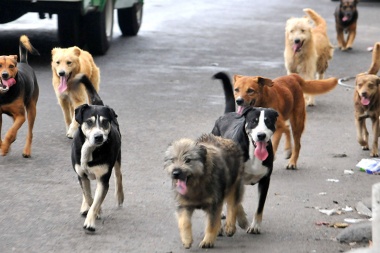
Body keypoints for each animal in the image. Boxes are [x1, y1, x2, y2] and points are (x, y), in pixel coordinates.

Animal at [71, 73, 123, 231]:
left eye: (105, 122)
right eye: (89, 122)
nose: (98, 136)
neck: (90, 149)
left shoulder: (103, 178)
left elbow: (95, 201)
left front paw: (91, 221)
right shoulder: (81, 174)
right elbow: (89, 197)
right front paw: (95, 209)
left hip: (118, 157)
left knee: (119, 175)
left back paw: (120, 196)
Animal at [211, 72, 280, 234]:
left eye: (268, 122)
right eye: (254, 121)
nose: (261, 135)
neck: (253, 153)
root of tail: (227, 114)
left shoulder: (265, 180)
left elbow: (260, 206)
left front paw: (255, 226)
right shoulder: (235, 178)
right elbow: (236, 203)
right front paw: (241, 220)